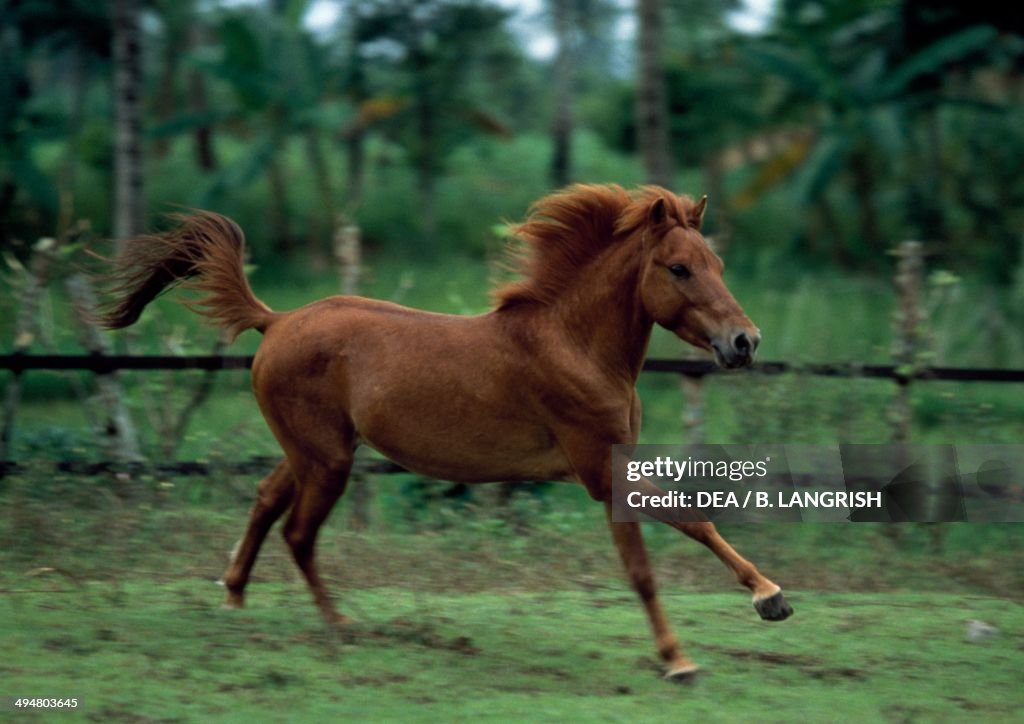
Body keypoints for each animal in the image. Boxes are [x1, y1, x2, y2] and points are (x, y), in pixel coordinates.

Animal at [97, 184, 790, 684]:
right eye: (679, 268)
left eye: (716, 263)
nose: (745, 342)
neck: (575, 347)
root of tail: (277, 320)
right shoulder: (600, 471)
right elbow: (661, 550)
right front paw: (694, 650)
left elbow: (686, 526)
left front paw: (765, 602)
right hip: (328, 461)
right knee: (298, 533)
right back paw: (339, 626)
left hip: (313, 451)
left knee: (266, 501)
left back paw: (236, 598)